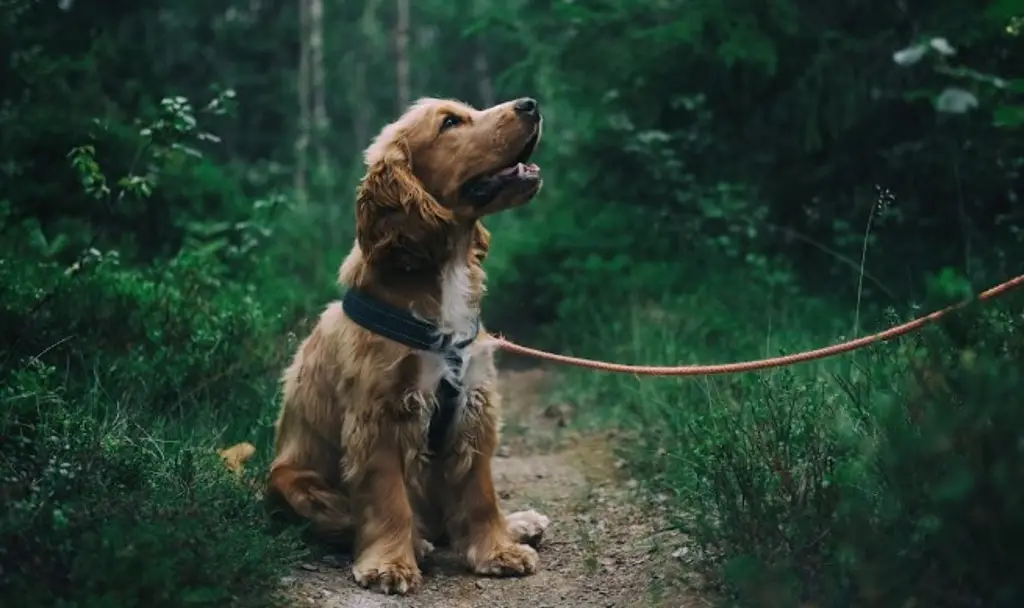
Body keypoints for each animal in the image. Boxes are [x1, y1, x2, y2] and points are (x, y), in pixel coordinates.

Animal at [264, 98, 552, 593]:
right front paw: (390, 564)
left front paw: (498, 550)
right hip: (291, 481)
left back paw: (518, 523)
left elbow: (480, 492)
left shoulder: (474, 406)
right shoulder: (381, 415)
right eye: (450, 122)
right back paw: (417, 542)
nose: (530, 104)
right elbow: (388, 498)